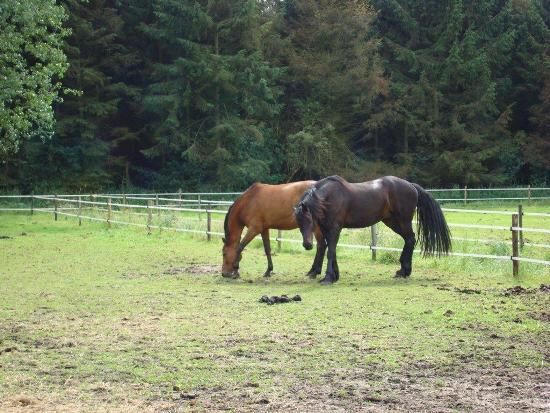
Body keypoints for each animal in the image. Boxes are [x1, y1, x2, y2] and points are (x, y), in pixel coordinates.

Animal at [298, 174, 452, 284]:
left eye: (309, 219)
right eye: (299, 223)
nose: (307, 245)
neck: (330, 197)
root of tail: (411, 186)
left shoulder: (334, 229)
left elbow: (330, 252)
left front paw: (328, 278)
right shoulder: (326, 229)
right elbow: (332, 250)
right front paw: (335, 275)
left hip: (402, 221)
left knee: (410, 239)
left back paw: (405, 270)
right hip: (392, 222)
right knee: (409, 240)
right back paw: (403, 271)